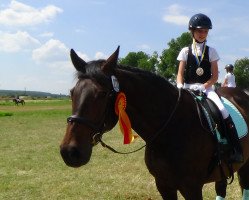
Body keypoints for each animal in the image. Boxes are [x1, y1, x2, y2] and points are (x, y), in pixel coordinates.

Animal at [59, 47, 249, 200]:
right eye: (72, 92)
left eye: (102, 94)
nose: (69, 152)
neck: (171, 128)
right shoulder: (164, 185)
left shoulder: (192, 187)